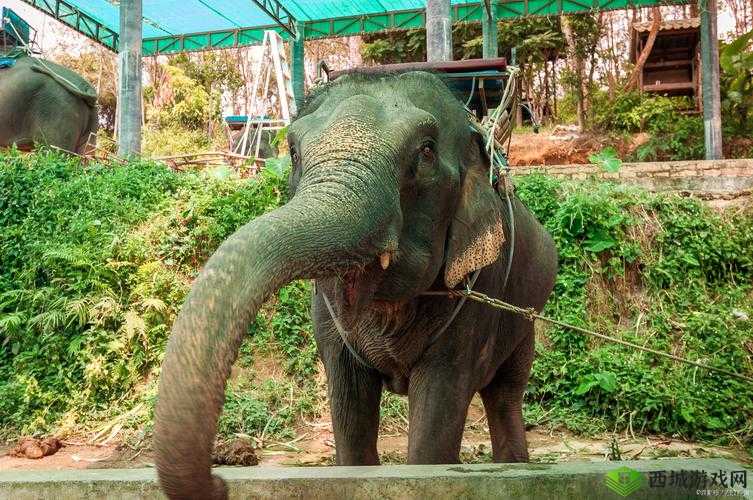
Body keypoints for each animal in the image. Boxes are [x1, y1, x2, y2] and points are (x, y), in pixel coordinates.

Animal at [154, 70, 558, 499]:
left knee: (506, 393)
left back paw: (514, 466)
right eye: (293, 151)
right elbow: (349, 406)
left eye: (426, 152)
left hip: (525, 320)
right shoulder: (327, 319)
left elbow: (439, 410)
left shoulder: (478, 299)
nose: (220, 481)